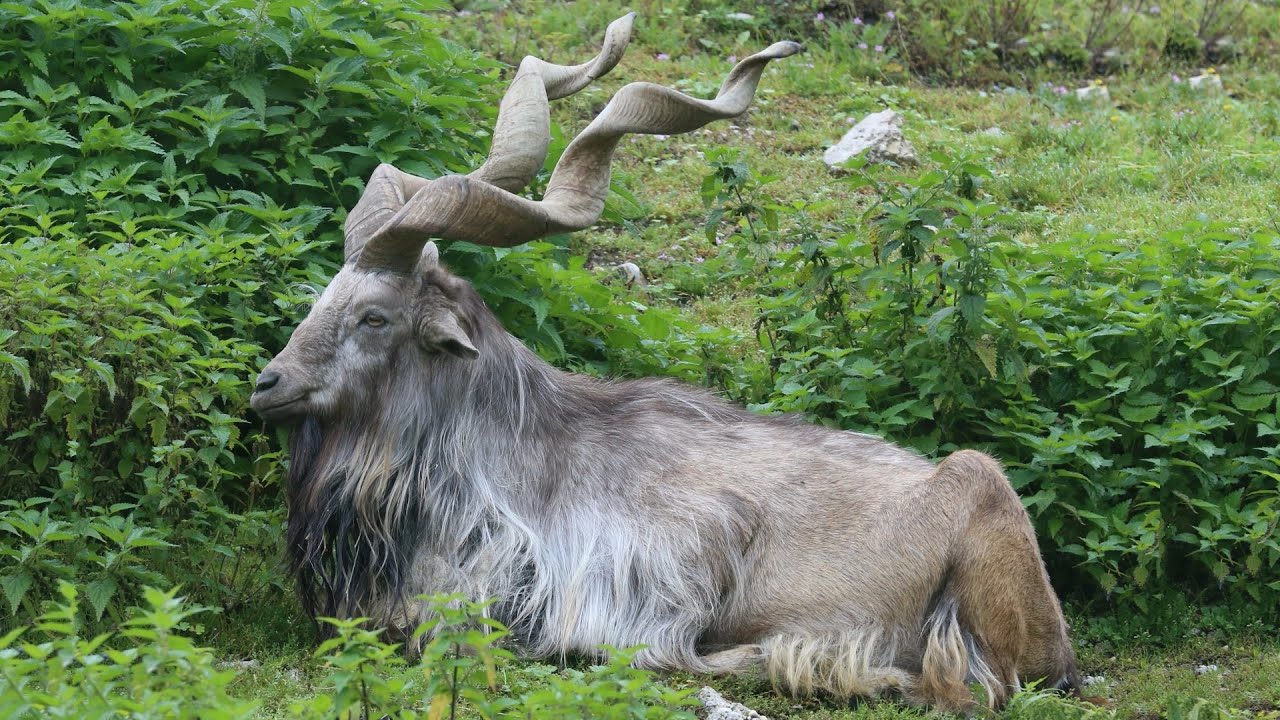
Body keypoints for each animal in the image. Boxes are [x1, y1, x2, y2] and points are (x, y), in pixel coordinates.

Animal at [249, 14, 1079, 711]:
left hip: (979, 497)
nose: (269, 384)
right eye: (325, 297)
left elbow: (641, 646)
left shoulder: (663, 565)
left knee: (977, 685)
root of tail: (1059, 635)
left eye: (374, 316)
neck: (515, 458)